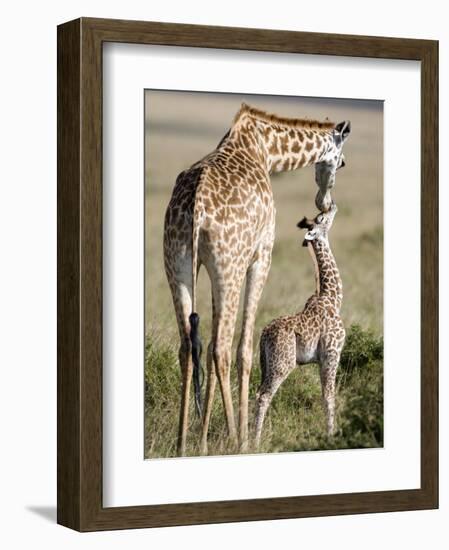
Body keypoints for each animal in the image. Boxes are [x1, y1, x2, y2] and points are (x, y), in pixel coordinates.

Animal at [254, 205, 344, 450]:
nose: (333, 206)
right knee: (264, 396)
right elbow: (329, 396)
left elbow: (324, 395)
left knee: (257, 393)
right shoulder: (332, 353)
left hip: (266, 363)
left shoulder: (322, 359)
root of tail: (263, 335)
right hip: (282, 364)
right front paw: (331, 436)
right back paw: (252, 442)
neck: (333, 298)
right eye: (322, 218)